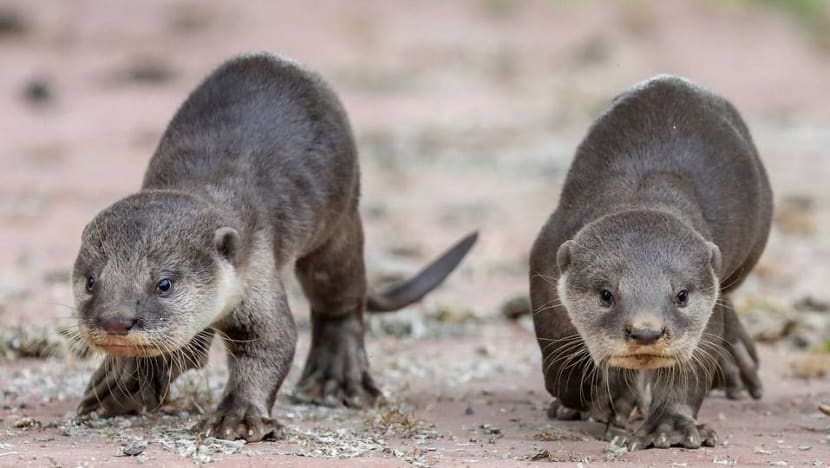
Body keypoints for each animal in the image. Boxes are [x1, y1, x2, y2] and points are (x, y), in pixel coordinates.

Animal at [74, 52, 480, 442]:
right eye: (91, 281)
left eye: (164, 284)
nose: (115, 321)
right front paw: (123, 380)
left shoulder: (257, 270)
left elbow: (272, 341)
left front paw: (237, 417)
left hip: (339, 223)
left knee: (341, 298)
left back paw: (336, 379)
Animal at [532, 75, 772, 448]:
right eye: (606, 294)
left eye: (681, 295)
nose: (646, 332)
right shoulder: (544, 263)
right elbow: (559, 364)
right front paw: (601, 397)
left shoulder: (704, 309)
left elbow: (690, 369)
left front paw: (670, 427)